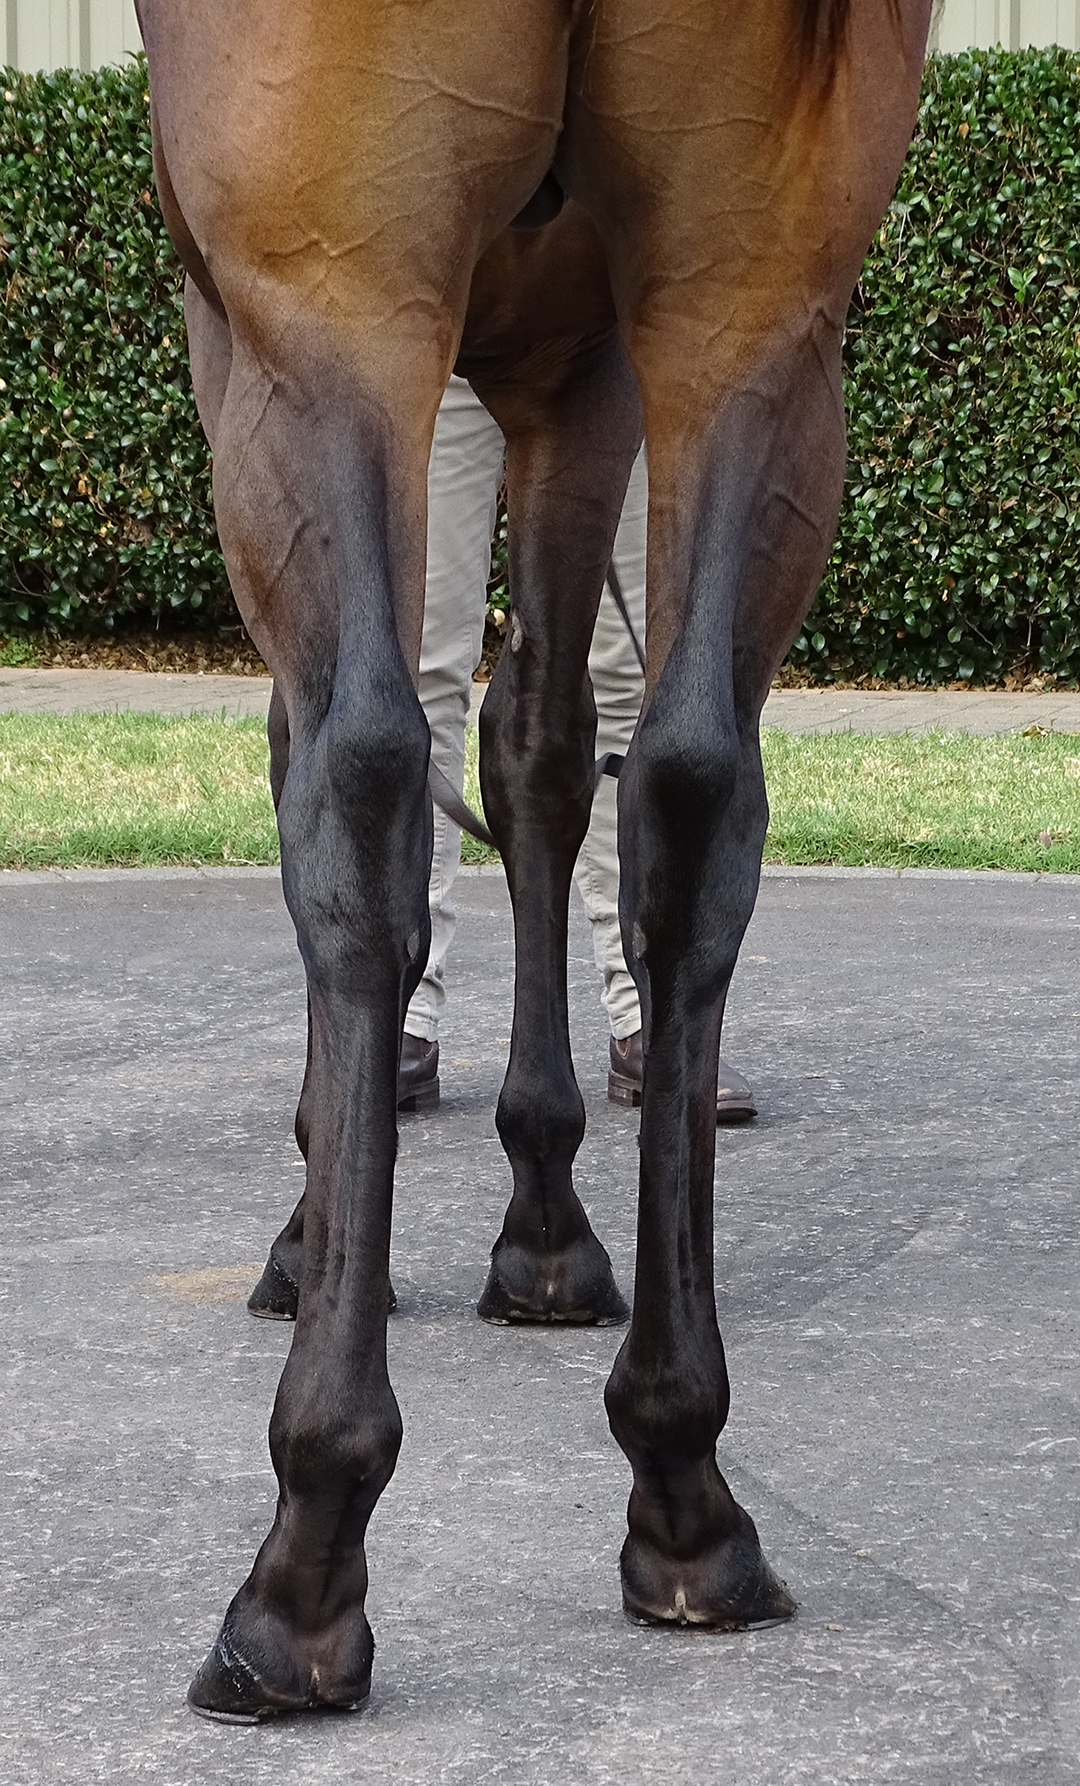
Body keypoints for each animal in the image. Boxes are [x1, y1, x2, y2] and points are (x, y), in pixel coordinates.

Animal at [135, 0, 931, 1721]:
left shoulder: (261, 336)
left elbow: (344, 760)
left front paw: (323, 1217)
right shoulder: (592, 372)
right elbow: (547, 758)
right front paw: (549, 1224)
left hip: (340, 297)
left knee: (364, 768)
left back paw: (303, 1564)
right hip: (749, 307)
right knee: (690, 786)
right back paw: (686, 1486)